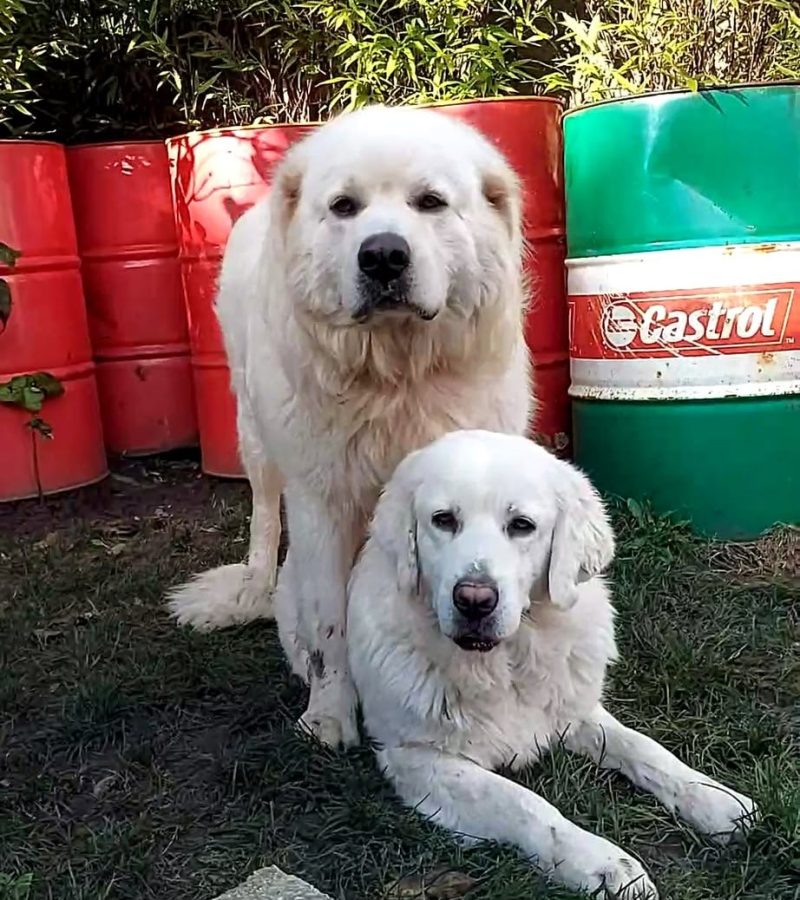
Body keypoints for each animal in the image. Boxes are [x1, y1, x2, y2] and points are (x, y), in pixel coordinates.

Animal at [168, 109, 532, 748]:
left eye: (430, 202)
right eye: (344, 207)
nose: (383, 255)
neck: (395, 377)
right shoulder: (321, 502)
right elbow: (328, 623)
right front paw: (331, 714)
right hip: (254, 435)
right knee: (264, 518)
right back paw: (255, 587)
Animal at [348, 430, 756, 900]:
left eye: (521, 525)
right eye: (443, 520)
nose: (474, 599)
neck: (505, 663)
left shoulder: (573, 710)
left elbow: (644, 748)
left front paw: (713, 797)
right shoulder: (417, 758)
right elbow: (525, 804)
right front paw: (603, 864)